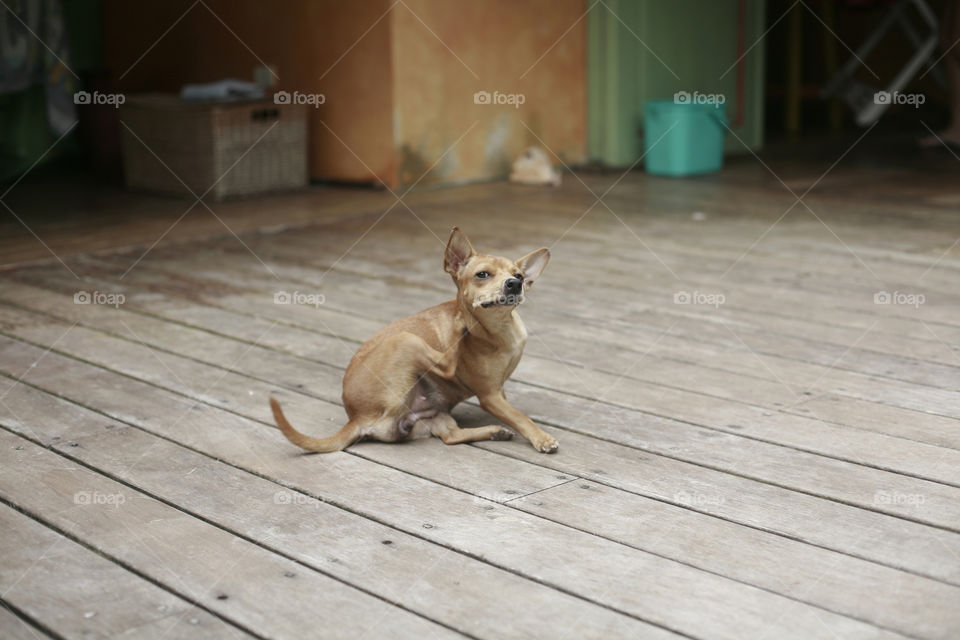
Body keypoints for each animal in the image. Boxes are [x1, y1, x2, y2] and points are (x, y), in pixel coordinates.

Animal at [270, 228, 560, 452]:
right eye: (482, 275)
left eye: (519, 276)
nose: (515, 284)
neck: (501, 330)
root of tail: (356, 417)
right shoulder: (489, 395)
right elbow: (520, 417)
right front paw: (542, 438)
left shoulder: (499, 392)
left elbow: (511, 412)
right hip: (405, 339)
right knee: (448, 364)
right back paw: (459, 330)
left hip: (436, 414)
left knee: (451, 437)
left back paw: (494, 431)